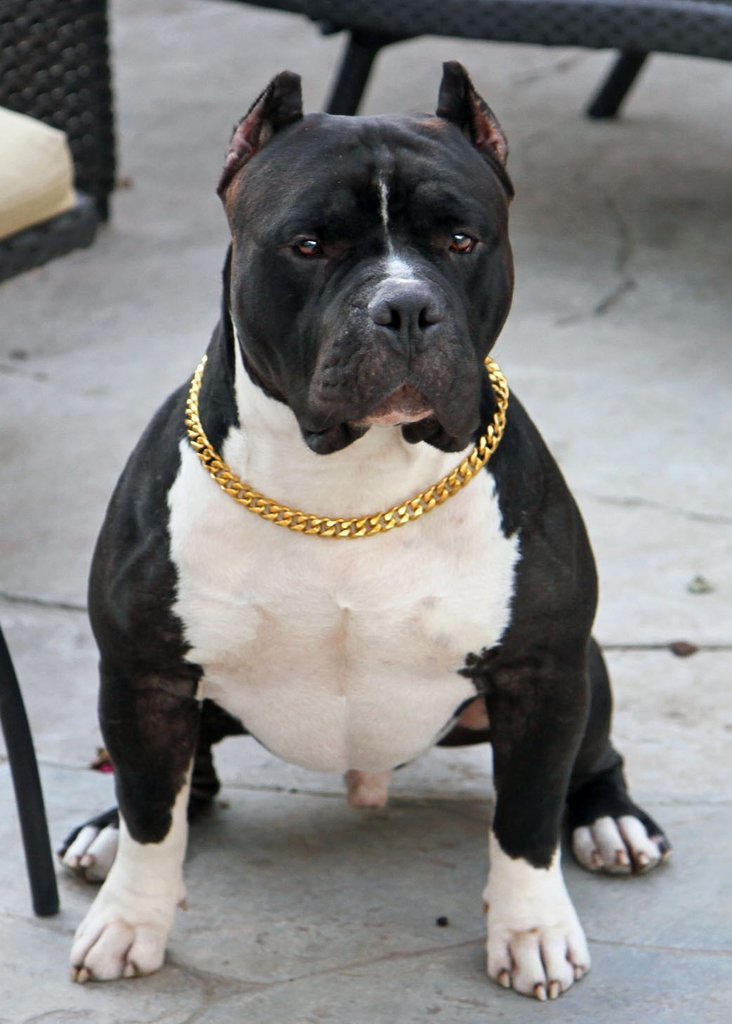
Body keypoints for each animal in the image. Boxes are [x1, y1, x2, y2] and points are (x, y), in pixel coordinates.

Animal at [61, 64, 671, 999]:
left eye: (461, 240)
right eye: (309, 245)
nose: (406, 308)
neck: (349, 492)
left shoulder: (541, 674)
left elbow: (526, 819)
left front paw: (531, 930)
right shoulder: (146, 677)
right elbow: (152, 821)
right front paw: (130, 921)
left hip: (585, 670)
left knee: (591, 761)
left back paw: (610, 820)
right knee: (177, 788)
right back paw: (103, 829)